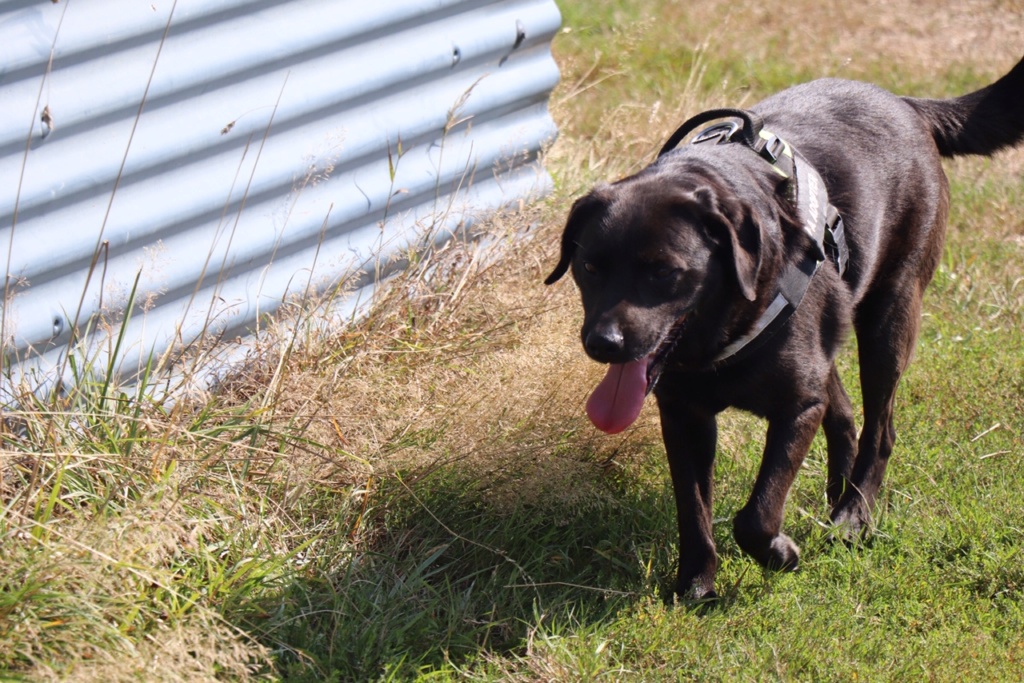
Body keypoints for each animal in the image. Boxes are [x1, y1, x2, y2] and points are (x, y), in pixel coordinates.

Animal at [548, 54, 1024, 598]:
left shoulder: (797, 407)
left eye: (664, 272)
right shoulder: (684, 415)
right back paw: (838, 495)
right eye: (589, 267)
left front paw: (779, 553)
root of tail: (905, 103)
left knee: (880, 428)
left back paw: (854, 516)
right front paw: (695, 587)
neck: (724, 333)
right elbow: (693, 510)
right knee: (844, 413)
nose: (603, 344)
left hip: (891, 314)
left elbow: (755, 516)